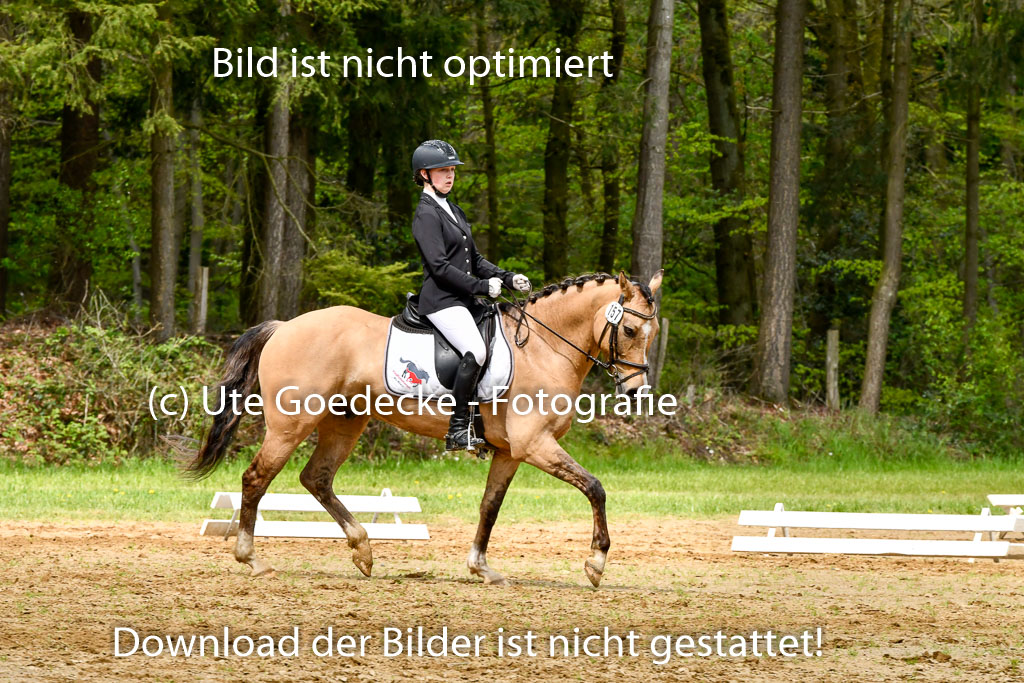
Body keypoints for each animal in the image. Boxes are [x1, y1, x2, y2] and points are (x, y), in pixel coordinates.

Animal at [188, 270, 663, 587]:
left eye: (653, 333)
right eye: (630, 329)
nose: (636, 392)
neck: (544, 348)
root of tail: (284, 326)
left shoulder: (511, 452)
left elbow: (490, 506)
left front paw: (481, 568)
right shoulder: (535, 445)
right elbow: (595, 487)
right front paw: (596, 564)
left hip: (345, 422)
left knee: (316, 478)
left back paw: (363, 550)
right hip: (291, 423)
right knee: (257, 477)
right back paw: (252, 559)